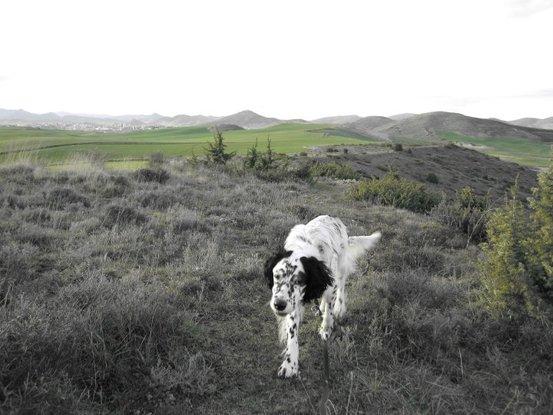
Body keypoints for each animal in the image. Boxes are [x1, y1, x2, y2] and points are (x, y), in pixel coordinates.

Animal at [264, 216, 380, 378]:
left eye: (299, 280)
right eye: (276, 276)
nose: (279, 305)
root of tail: (333, 217)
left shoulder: (329, 284)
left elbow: (329, 312)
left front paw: (326, 328)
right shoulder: (294, 302)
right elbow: (292, 331)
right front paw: (290, 363)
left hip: (341, 268)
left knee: (341, 287)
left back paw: (339, 308)